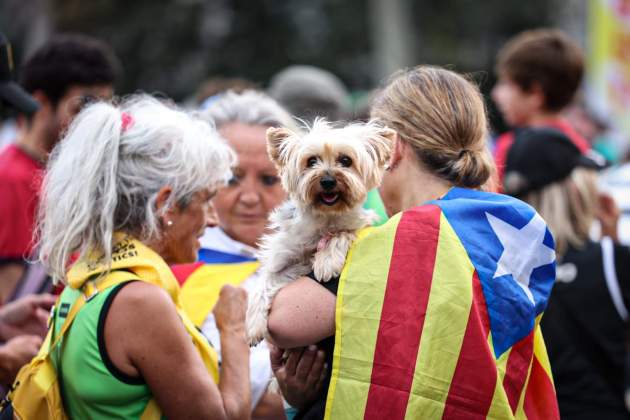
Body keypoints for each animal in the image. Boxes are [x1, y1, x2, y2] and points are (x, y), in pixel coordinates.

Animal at [248, 118, 396, 344]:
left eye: (345, 160)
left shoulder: (359, 224)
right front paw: (254, 325)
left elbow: (341, 233)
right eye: (311, 161)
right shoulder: (284, 259)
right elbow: (264, 282)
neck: (325, 216)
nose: (327, 181)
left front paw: (326, 262)